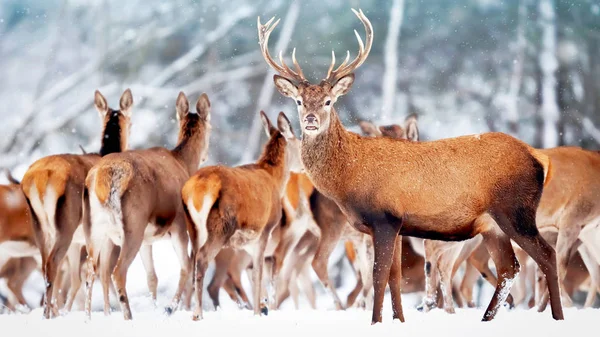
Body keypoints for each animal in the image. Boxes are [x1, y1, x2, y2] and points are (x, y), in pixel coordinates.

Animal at [22, 88, 134, 316]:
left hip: (40, 228)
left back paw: (50, 312)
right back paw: (48, 315)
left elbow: (77, 279)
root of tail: (39, 179)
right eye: (132, 121)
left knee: (46, 267)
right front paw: (107, 313)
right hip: (66, 223)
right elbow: (104, 273)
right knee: (53, 265)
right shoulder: (104, 235)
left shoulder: (78, 241)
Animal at [82, 92, 209, 320]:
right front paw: (170, 308)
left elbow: (152, 277)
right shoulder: (179, 225)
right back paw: (128, 315)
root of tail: (103, 178)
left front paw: (157, 307)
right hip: (133, 223)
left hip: (96, 228)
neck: (184, 164)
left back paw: (88, 318)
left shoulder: (147, 240)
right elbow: (186, 267)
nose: (206, 155)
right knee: (117, 271)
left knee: (91, 270)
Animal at [182, 111, 304, 320]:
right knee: (203, 259)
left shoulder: (246, 241)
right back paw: (198, 313)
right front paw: (258, 311)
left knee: (192, 261)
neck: (275, 180)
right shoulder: (264, 230)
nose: (305, 165)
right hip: (221, 226)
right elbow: (258, 273)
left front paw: (262, 305)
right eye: (299, 140)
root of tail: (197, 189)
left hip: (193, 228)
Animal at [258, 8, 564, 322]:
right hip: (492, 225)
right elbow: (394, 276)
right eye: (299, 101)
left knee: (547, 255)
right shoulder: (395, 224)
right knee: (509, 267)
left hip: (516, 210)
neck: (349, 177)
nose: (310, 120)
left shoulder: (384, 217)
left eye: (329, 101)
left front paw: (376, 321)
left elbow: (379, 276)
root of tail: (539, 157)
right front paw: (398, 320)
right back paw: (486, 319)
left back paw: (557, 317)